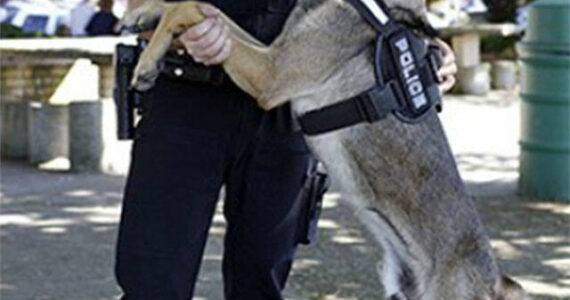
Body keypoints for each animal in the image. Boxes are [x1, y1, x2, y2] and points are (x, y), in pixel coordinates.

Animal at [118, 1, 528, 298]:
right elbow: (202, 7)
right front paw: (142, 12)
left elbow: (190, 7)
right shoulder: (275, 52)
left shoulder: (271, 73)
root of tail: (494, 281)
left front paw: (147, 61)